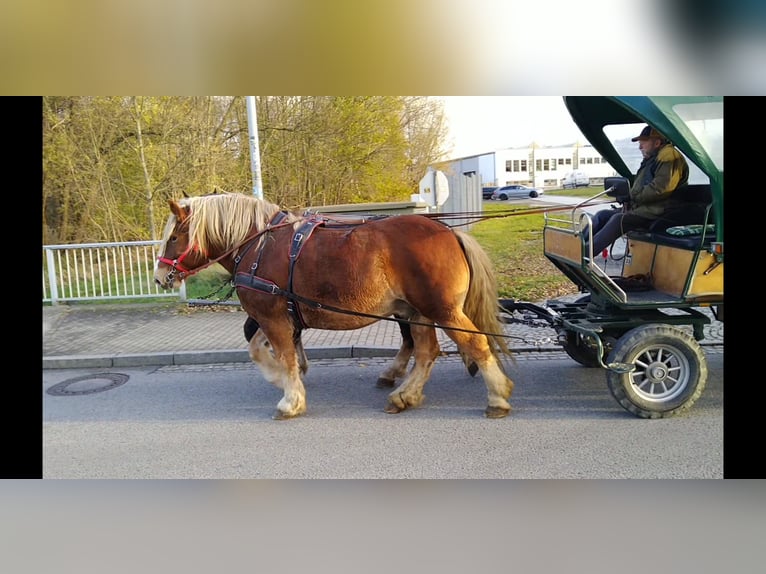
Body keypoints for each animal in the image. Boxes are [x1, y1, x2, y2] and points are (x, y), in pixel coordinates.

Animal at [154, 191, 516, 420]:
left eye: (173, 237)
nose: (159, 277)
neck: (259, 245)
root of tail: (448, 232)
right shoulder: (275, 317)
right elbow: (260, 350)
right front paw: (282, 380)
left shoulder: (272, 315)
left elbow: (282, 354)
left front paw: (290, 399)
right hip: (418, 312)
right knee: (426, 352)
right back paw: (405, 395)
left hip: (441, 309)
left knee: (474, 343)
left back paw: (497, 396)